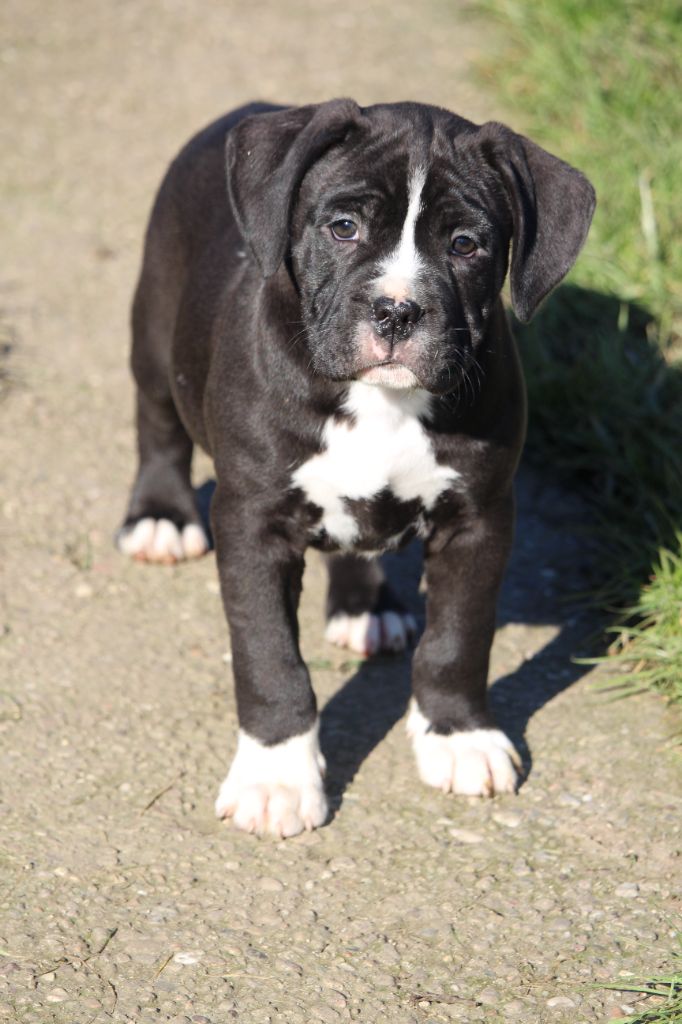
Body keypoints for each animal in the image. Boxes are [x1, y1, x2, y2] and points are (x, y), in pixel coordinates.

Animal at [118, 99, 593, 839]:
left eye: (466, 245)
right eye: (344, 227)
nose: (396, 309)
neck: (380, 401)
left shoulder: (480, 517)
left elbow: (460, 637)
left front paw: (459, 736)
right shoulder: (252, 522)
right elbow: (268, 655)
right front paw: (277, 777)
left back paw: (367, 607)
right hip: (155, 320)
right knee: (157, 418)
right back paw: (160, 517)